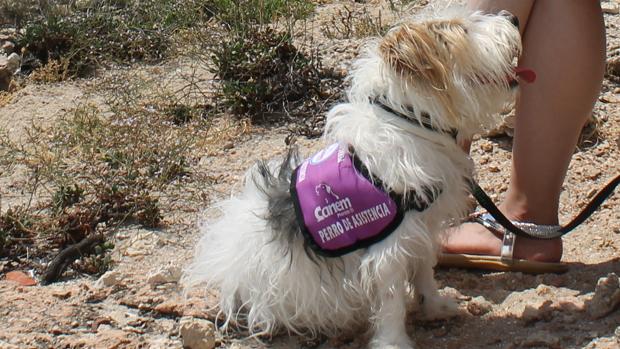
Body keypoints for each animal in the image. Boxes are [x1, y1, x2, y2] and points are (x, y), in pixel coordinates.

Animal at [183, 6, 524, 346]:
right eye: (461, 30)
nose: (514, 18)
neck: (411, 123)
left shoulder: (421, 230)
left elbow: (424, 270)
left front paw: (435, 306)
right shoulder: (389, 246)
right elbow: (391, 302)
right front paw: (394, 341)